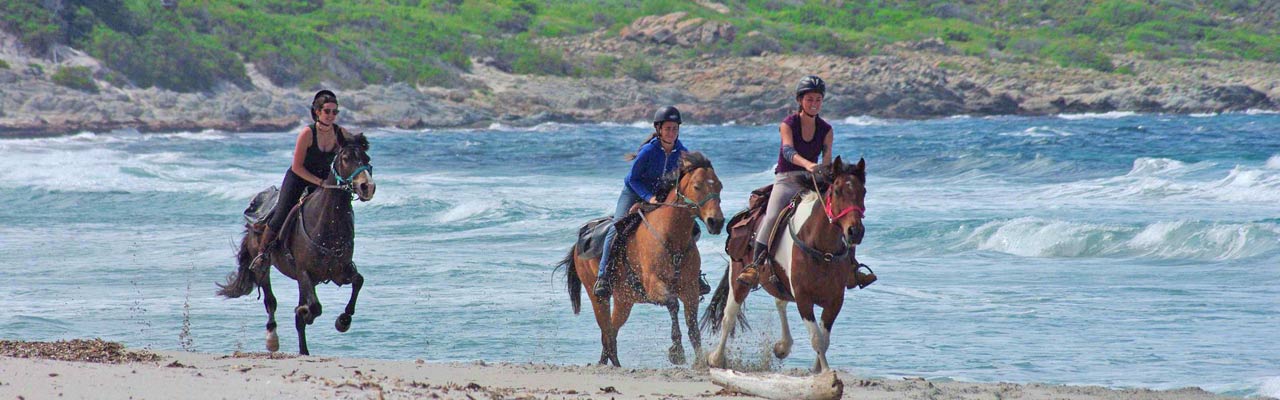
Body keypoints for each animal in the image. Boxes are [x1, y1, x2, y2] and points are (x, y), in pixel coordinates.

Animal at [217, 132, 376, 353]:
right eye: (345, 159)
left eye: (367, 159)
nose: (367, 187)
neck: (328, 223)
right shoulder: (304, 272)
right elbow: (315, 307)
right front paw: (305, 312)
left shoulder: (339, 271)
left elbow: (358, 281)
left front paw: (343, 321)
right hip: (263, 266)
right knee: (270, 300)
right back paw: (273, 338)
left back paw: (304, 350)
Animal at [555, 151, 727, 366]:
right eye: (697, 186)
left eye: (719, 185)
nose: (716, 222)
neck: (671, 238)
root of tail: (579, 241)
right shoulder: (654, 285)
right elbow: (673, 304)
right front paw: (676, 351)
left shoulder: (690, 289)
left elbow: (693, 326)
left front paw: (700, 362)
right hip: (598, 297)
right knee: (606, 331)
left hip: (624, 300)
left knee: (611, 331)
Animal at [701, 155, 870, 371]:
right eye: (837, 191)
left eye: (863, 192)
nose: (855, 232)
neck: (822, 249)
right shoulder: (803, 298)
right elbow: (817, 338)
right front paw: (825, 373)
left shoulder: (835, 300)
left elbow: (824, 339)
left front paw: (817, 369)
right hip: (738, 279)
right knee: (729, 317)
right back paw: (716, 358)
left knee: (779, 301)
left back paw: (783, 346)